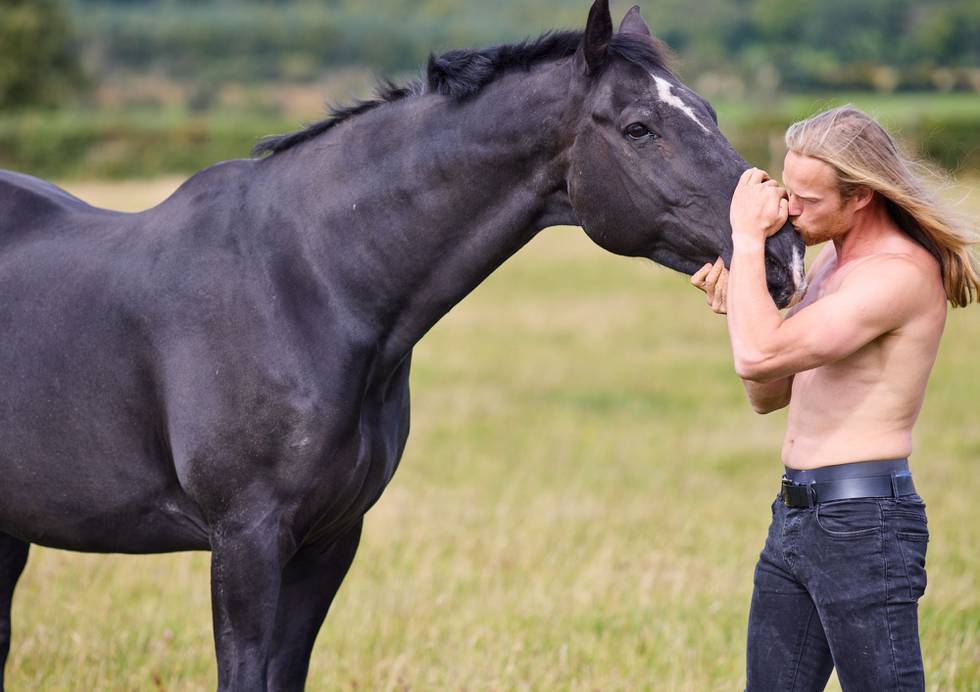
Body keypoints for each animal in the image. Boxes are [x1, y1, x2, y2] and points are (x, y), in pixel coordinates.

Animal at [0, 2, 804, 688]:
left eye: (709, 114)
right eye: (639, 128)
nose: (786, 253)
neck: (304, 283)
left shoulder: (329, 540)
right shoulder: (246, 543)